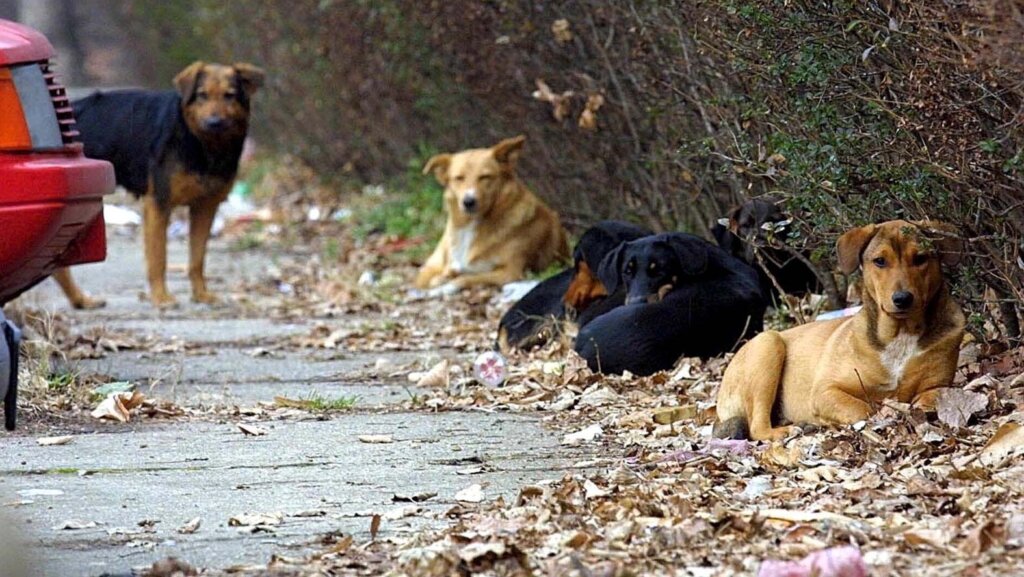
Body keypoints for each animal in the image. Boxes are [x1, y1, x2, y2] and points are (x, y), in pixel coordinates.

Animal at [55, 59, 264, 307]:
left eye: (229, 95)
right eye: (202, 95)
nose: (213, 123)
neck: (201, 144)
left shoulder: (205, 207)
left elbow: (197, 258)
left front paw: (201, 294)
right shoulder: (158, 203)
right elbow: (158, 257)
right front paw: (161, 297)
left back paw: (80, 300)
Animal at [417, 136, 577, 293]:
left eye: (485, 177)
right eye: (459, 178)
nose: (468, 201)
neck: (473, 225)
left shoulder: (511, 272)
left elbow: (467, 277)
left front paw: (446, 286)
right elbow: (440, 276)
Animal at [712, 222, 966, 442]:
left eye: (920, 258)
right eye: (880, 261)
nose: (902, 299)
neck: (899, 334)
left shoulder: (938, 387)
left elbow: (927, 400)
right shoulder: (826, 391)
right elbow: (864, 409)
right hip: (768, 344)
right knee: (757, 427)